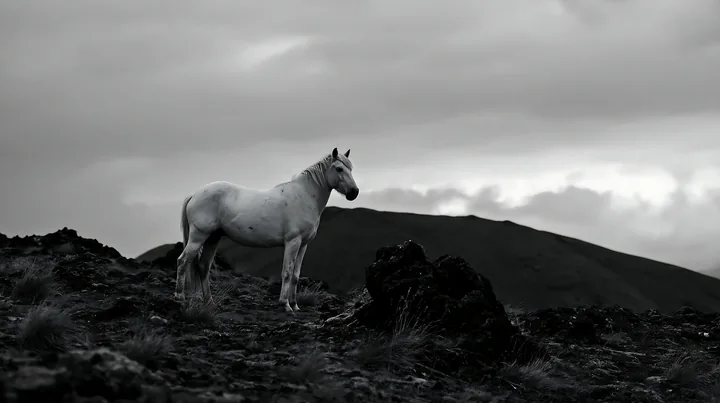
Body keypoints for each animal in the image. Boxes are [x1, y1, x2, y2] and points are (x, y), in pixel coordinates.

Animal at [174, 147, 359, 313]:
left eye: (350, 168)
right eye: (339, 168)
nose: (354, 192)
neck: (304, 196)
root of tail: (195, 194)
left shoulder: (303, 245)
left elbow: (295, 275)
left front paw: (295, 305)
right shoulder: (292, 242)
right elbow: (287, 272)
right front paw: (285, 305)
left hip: (213, 238)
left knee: (203, 266)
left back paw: (209, 301)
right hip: (199, 236)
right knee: (183, 261)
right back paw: (179, 298)